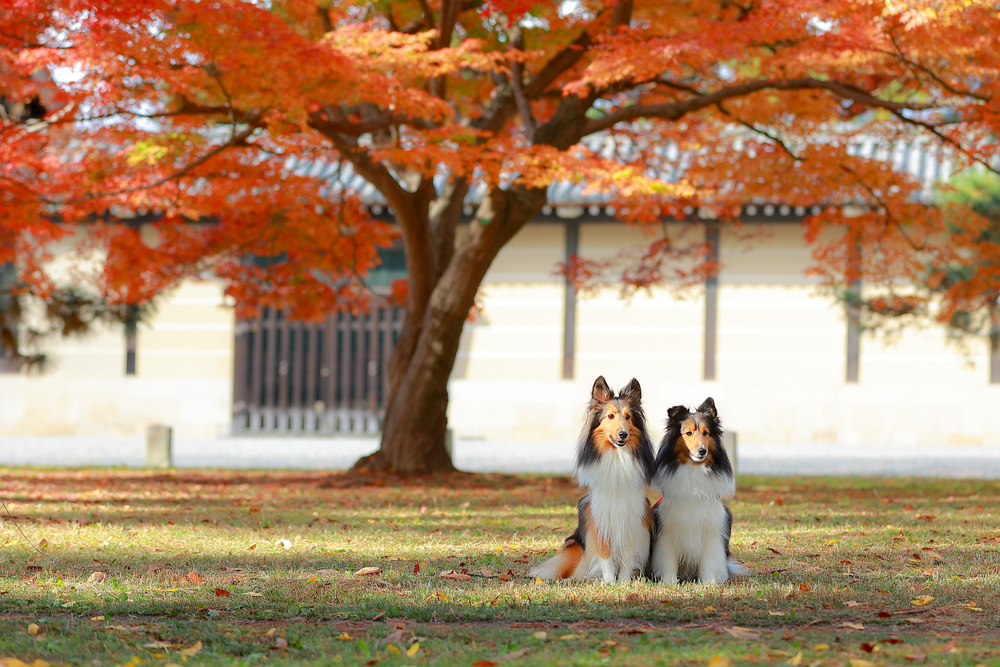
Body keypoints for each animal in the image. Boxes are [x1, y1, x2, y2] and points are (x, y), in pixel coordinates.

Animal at [528, 378, 660, 580]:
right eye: (610, 416)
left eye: (628, 417)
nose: (623, 434)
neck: (617, 458)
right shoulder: (599, 520)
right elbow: (604, 553)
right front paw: (609, 581)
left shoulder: (634, 519)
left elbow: (628, 555)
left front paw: (624, 582)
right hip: (574, 548)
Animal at [648, 396, 744, 584]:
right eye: (688, 433)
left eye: (706, 433)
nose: (702, 451)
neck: (694, 470)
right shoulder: (667, 531)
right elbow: (668, 560)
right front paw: (669, 583)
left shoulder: (712, 529)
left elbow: (709, 561)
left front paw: (709, 583)